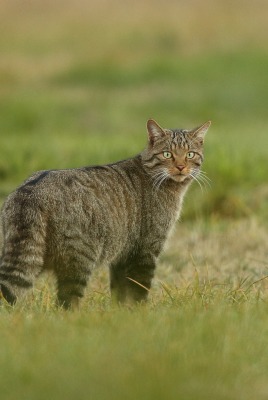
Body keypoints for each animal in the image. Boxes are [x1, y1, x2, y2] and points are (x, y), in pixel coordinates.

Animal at [0, 119, 209, 310]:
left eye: (190, 154)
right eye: (167, 154)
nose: (181, 167)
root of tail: (30, 193)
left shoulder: (123, 255)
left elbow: (121, 292)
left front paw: (120, 313)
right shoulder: (146, 250)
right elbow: (139, 290)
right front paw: (141, 314)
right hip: (78, 260)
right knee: (66, 303)